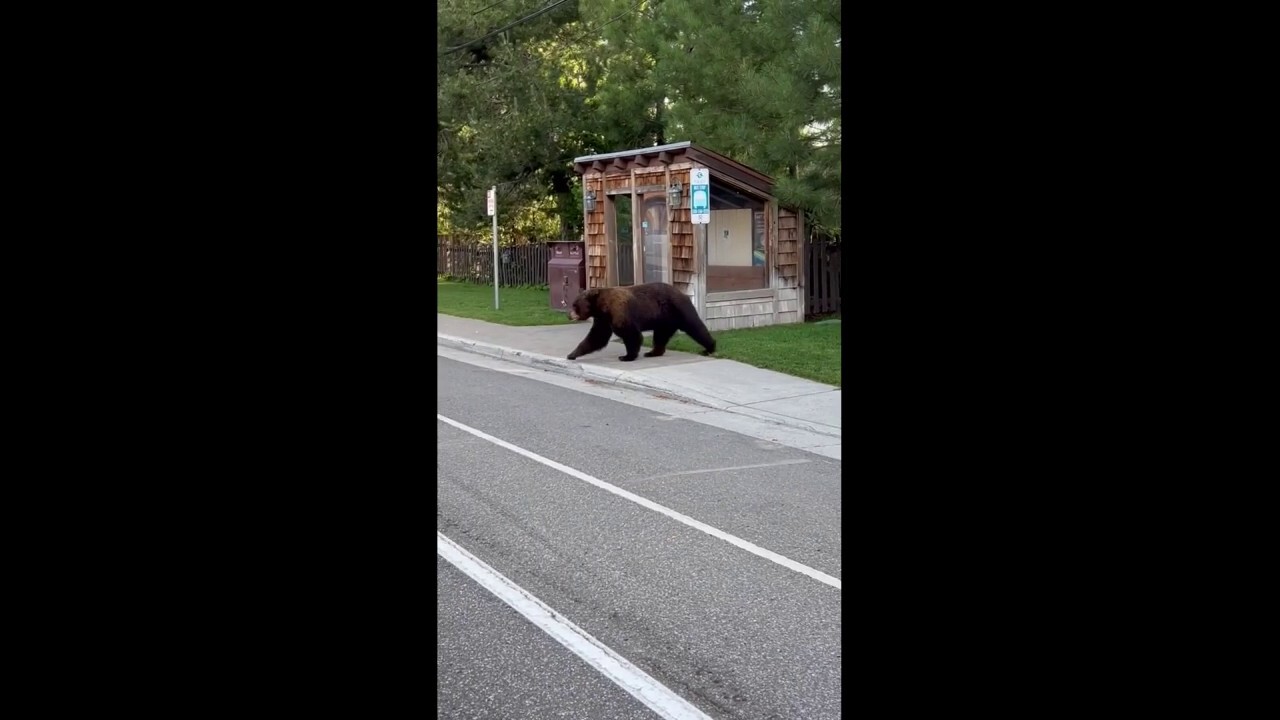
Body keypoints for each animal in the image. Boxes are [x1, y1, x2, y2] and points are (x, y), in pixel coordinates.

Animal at [565, 280, 716, 358]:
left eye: (575, 305)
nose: (569, 315)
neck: (602, 306)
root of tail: (682, 293)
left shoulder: (619, 312)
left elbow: (630, 334)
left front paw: (627, 356)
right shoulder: (603, 319)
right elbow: (597, 336)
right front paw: (572, 354)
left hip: (678, 309)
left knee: (695, 326)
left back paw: (710, 348)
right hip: (664, 320)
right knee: (660, 336)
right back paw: (653, 352)